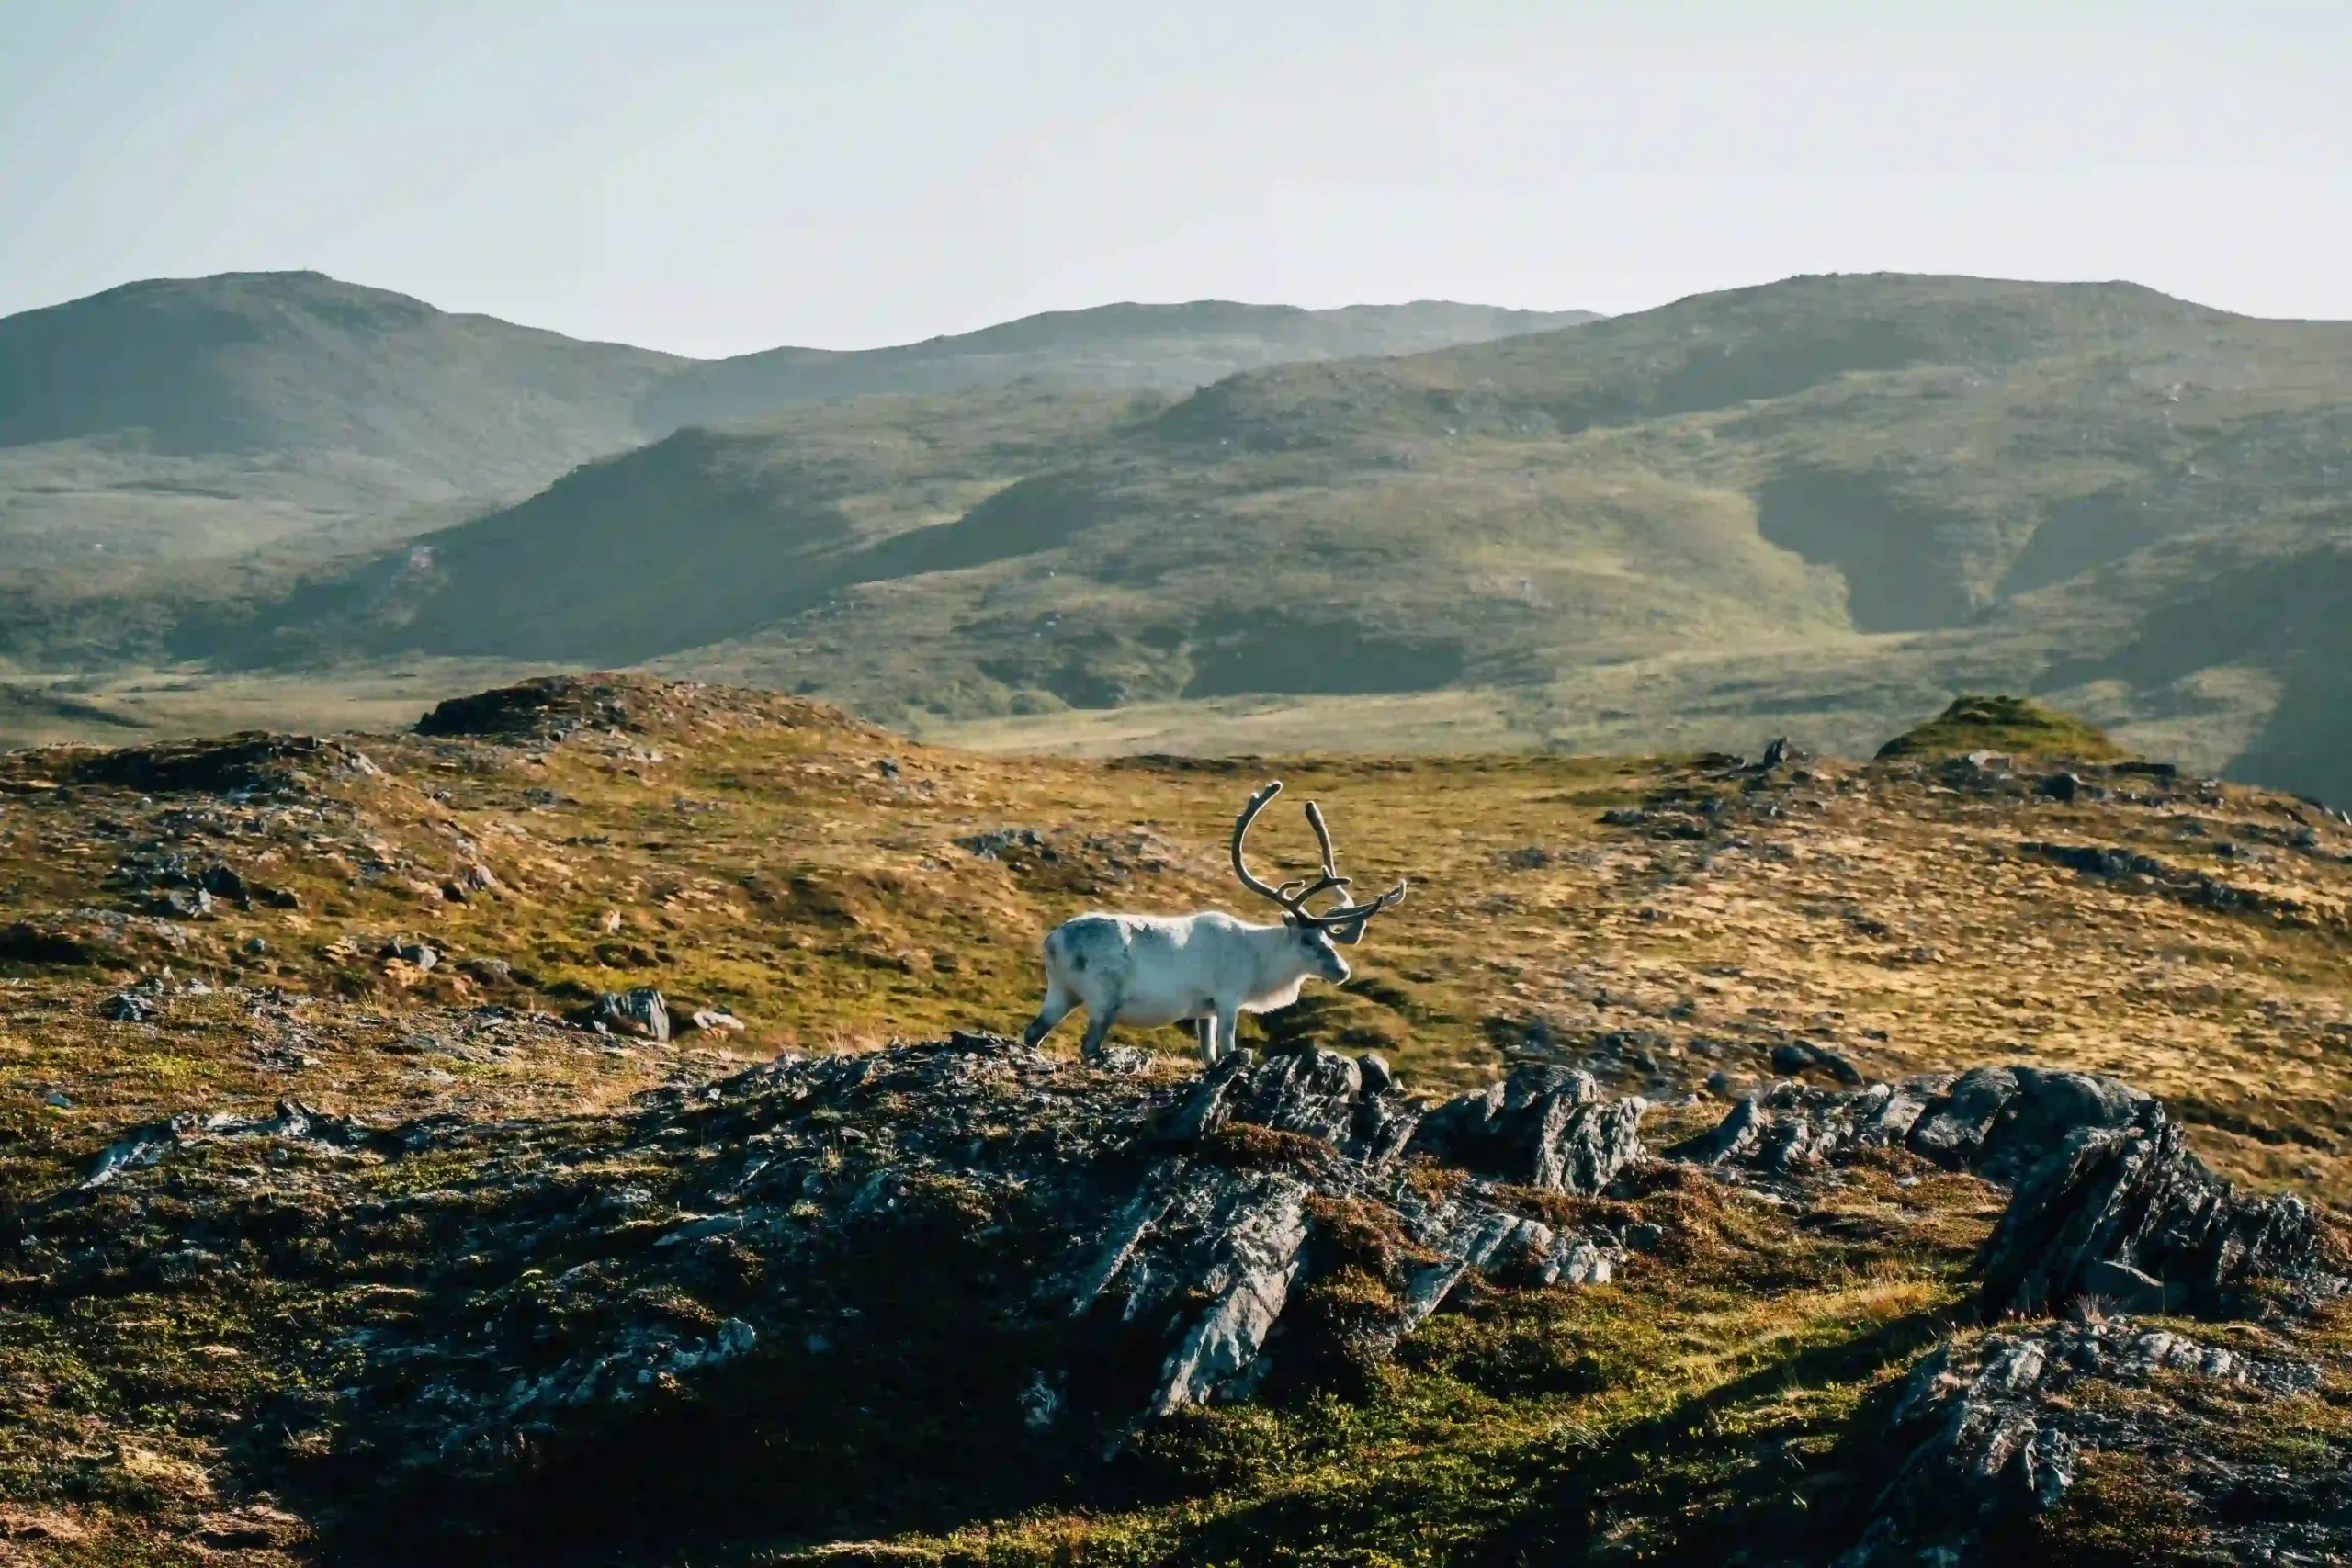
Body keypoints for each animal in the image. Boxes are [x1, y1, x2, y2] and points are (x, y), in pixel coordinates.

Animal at [1020, 781, 1408, 1064]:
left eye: (1329, 938)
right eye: (1307, 941)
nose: (1342, 971)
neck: (1259, 959)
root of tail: (1052, 941)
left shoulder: (1203, 1011)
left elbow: (1208, 1056)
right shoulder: (1228, 999)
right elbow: (1227, 1050)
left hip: (1062, 992)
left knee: (1033, 1032)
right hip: (1104, 1000)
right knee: (1088, 1044)